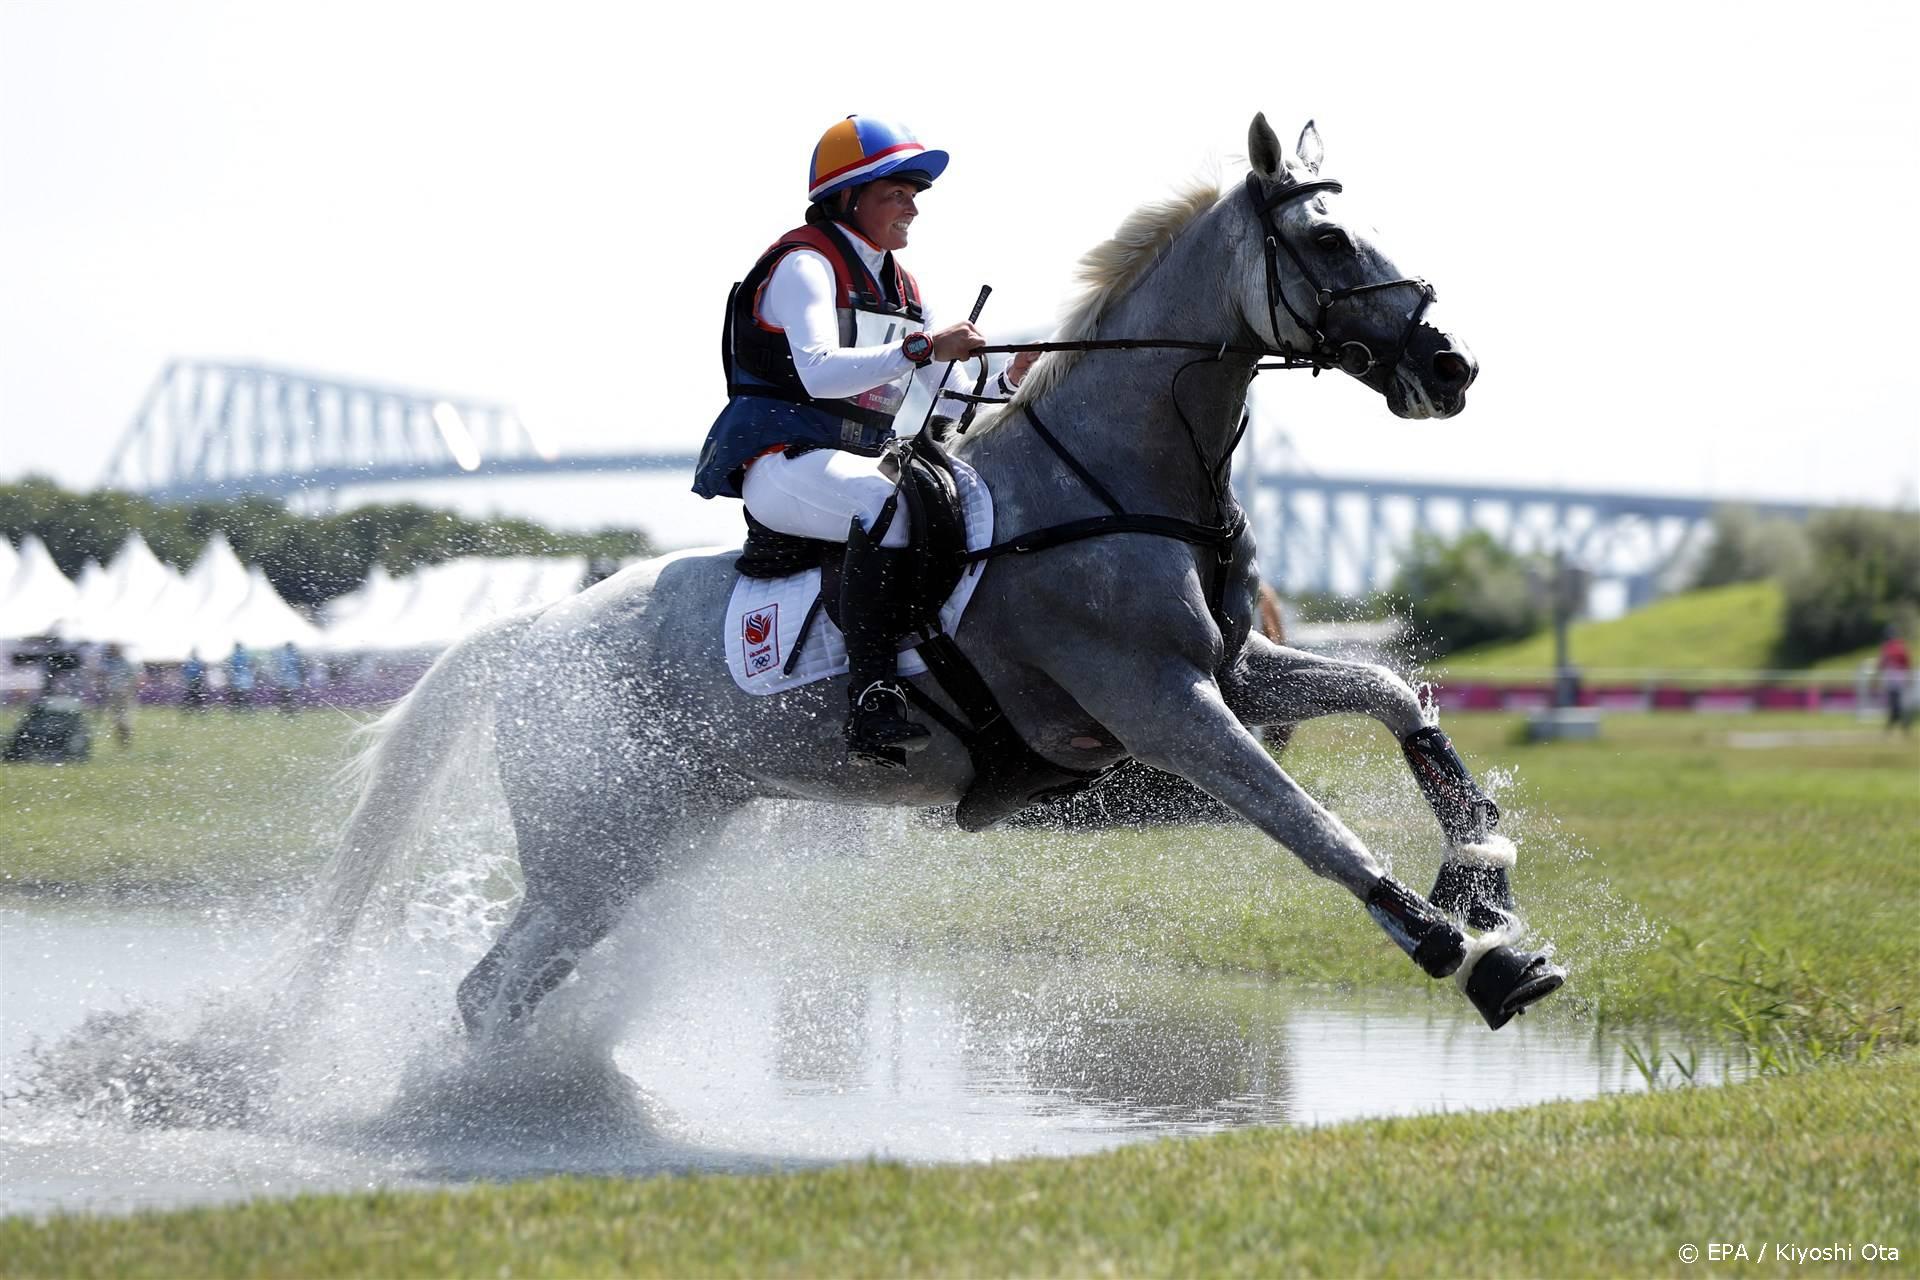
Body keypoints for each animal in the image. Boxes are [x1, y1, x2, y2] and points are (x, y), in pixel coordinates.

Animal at [314, 115, 1566, 1043]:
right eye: (1331, 240)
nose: (1452, 366)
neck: (1121, 470)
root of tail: (527, 633)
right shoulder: (1164, 705)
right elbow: (1307, 824)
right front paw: (1465, 951)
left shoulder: (1236, 668)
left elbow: (1396, 698)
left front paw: (1485, 873)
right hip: (592, 846)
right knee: (489, 989)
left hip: (658, 836)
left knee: (513, 982)